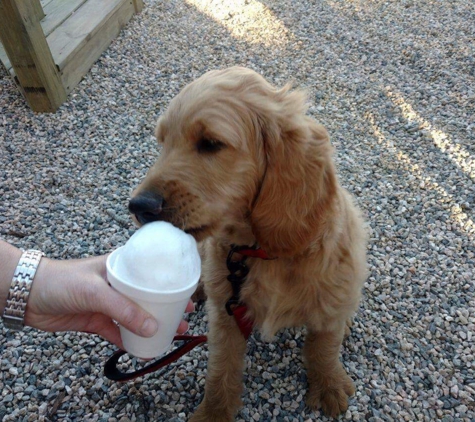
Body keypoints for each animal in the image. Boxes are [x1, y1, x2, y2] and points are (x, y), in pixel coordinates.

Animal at [129, 67, 368, 422]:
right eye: (162, 143)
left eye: (210, 143)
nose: (138, 206)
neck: (260, 251)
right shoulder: (226, 315)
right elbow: (221, 367)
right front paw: (213, 412)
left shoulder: (330, 296)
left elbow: (324, 347)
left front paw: (329, 386)